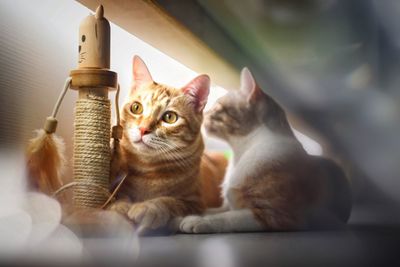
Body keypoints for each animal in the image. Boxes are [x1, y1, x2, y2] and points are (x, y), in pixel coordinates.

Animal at [109, 56, 223, 234]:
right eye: (136, 107)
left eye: (170, 117)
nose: (143, 129)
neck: (147, 171)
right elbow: (118, 195)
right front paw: (119, 205)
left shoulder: (195, 203)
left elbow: (170, 202)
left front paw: (150, 208)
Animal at [180, 68, 352, 233]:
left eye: (217, 107)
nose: (203, 115)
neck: (241, 152)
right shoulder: (227, 205)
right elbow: (209, 210)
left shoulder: (275, 214)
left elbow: (228, 217)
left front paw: (198, 221)